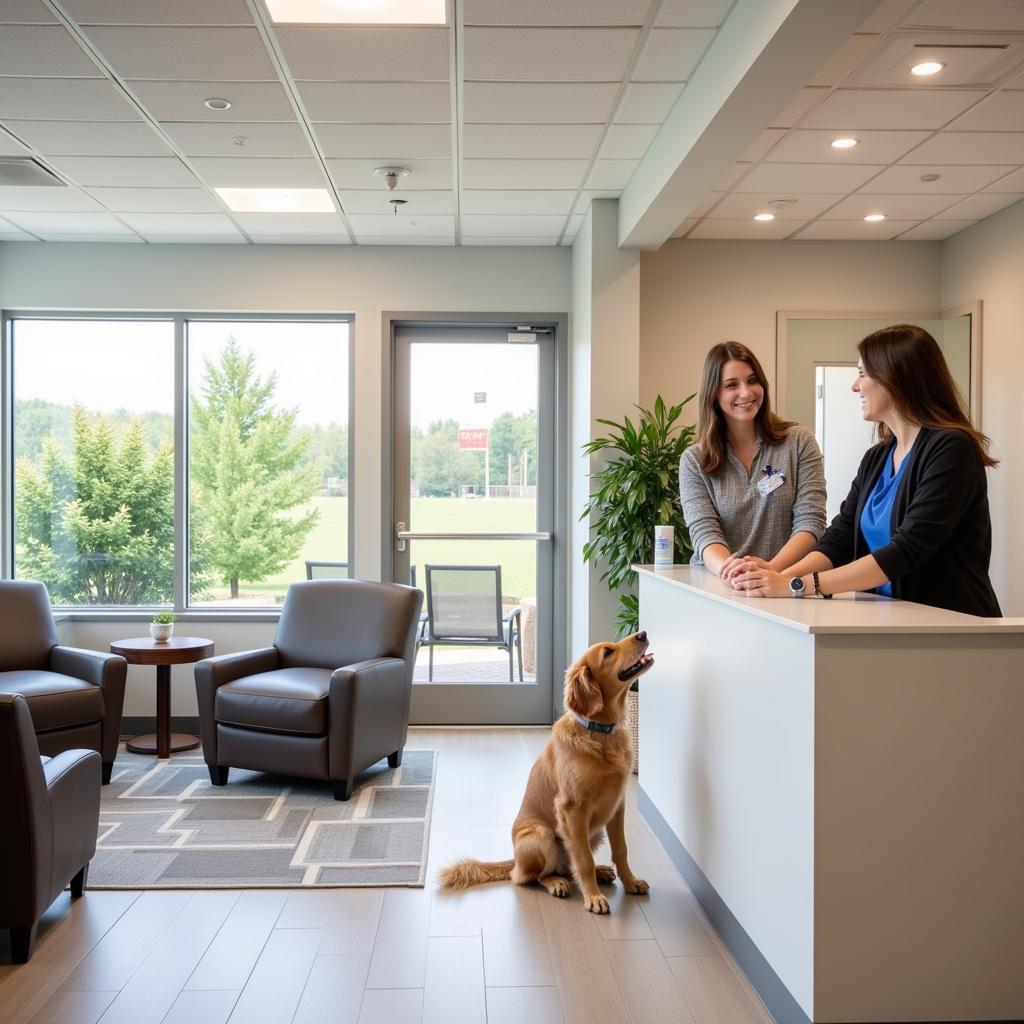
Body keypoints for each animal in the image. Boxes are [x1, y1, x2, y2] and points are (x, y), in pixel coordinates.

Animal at [442, 630, 655, 913]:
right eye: (607, 652)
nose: (643, 633)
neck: (599, 733)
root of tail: (514, 861)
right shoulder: (572, 808)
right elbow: (583, 859)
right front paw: (593, 897)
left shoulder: (617, 805)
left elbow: (621, 849)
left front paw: (630, 882)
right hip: (540, 835)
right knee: (532, 877)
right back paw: (556, 883)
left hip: (594, 831)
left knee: (567, 868)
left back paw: (600, 872)